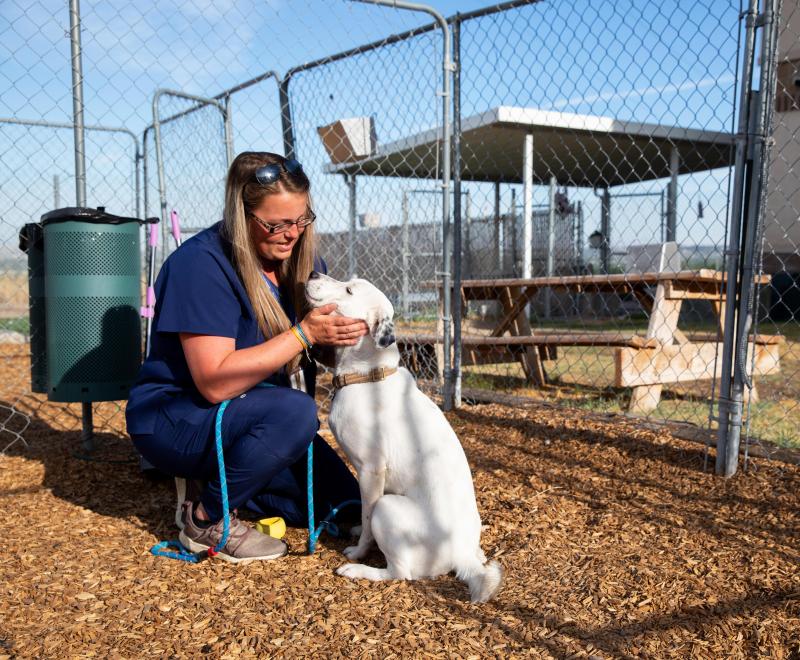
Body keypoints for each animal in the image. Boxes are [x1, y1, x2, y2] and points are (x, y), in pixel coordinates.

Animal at [304, 270, 500, 600]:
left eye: (348, 290)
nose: (313, 273)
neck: (368, 376)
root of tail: (461, 555)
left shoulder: (371, 472)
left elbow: (367, 516)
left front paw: (359, 549)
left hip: (388, 507)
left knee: (400, 573)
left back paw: (359, 569)